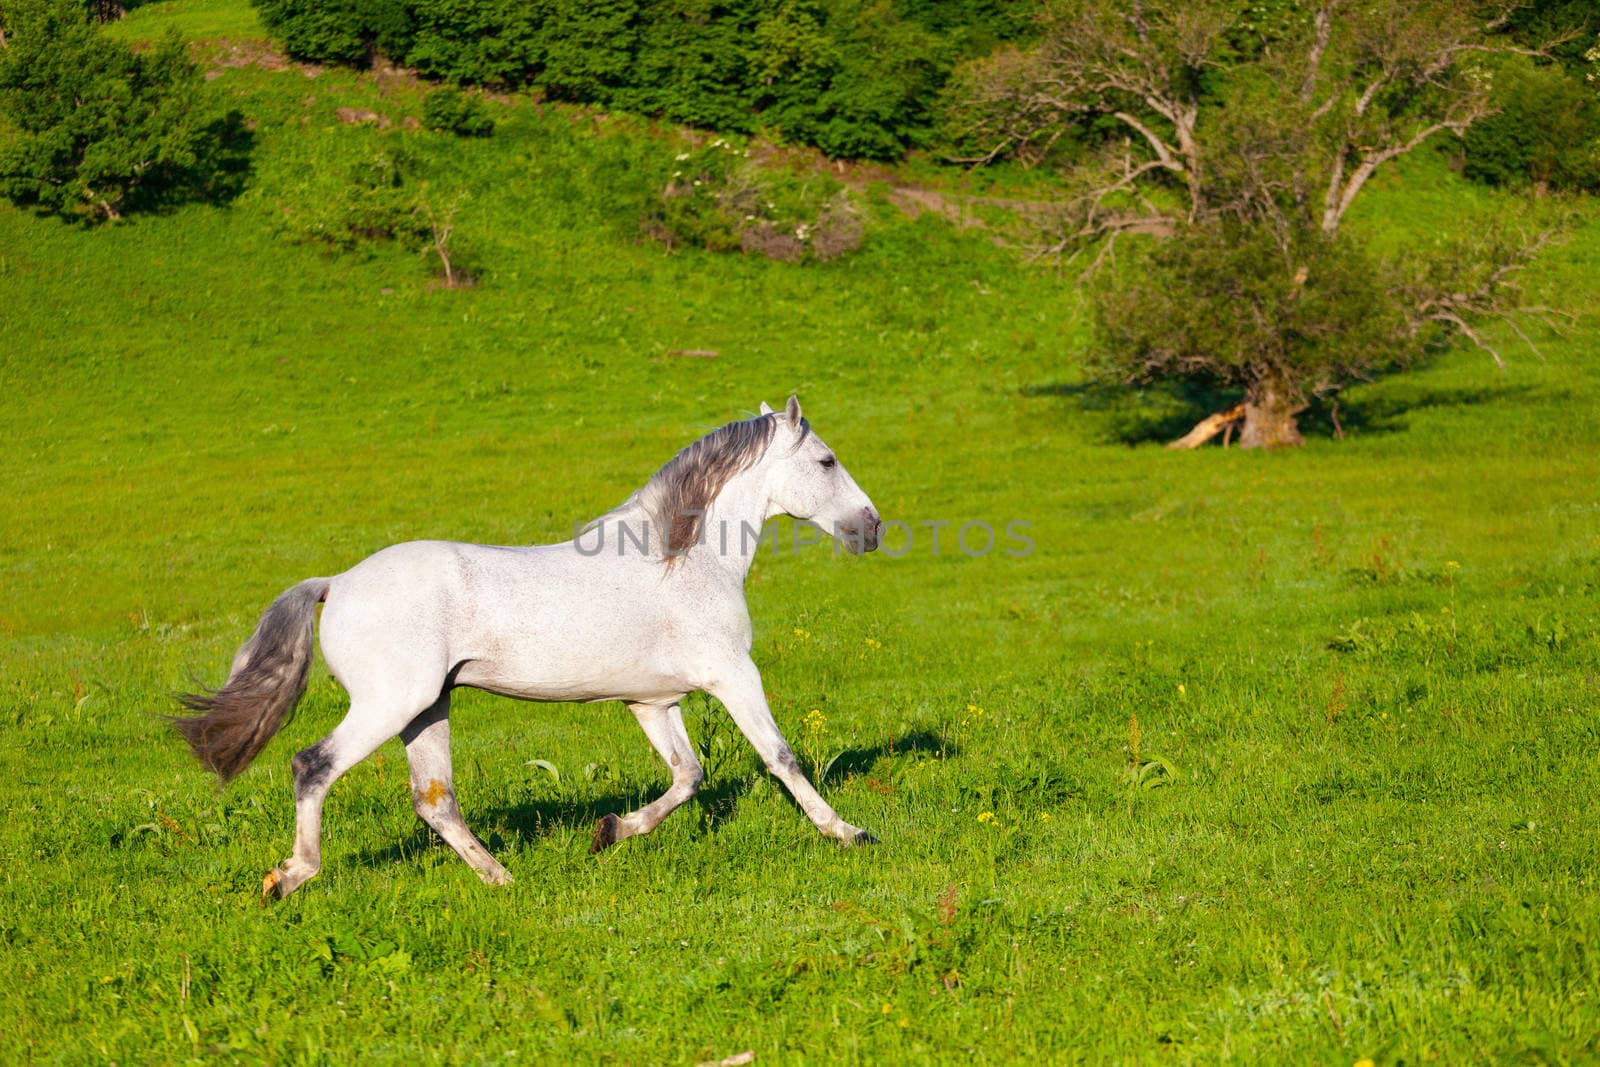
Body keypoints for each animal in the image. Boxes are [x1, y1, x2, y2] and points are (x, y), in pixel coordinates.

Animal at [175, 398, 889, 902]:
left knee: (435, 800)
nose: (873, 527)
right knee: (313, 766)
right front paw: (851, 833)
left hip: (426, 710)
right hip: (389, 705)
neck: (684, 561)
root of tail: (337, 582)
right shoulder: (734, 676)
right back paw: (289, 877)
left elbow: (689, 775)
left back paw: (502, 880)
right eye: (827, 461)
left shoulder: (653, 703)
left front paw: (610, 832)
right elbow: (781, 757)